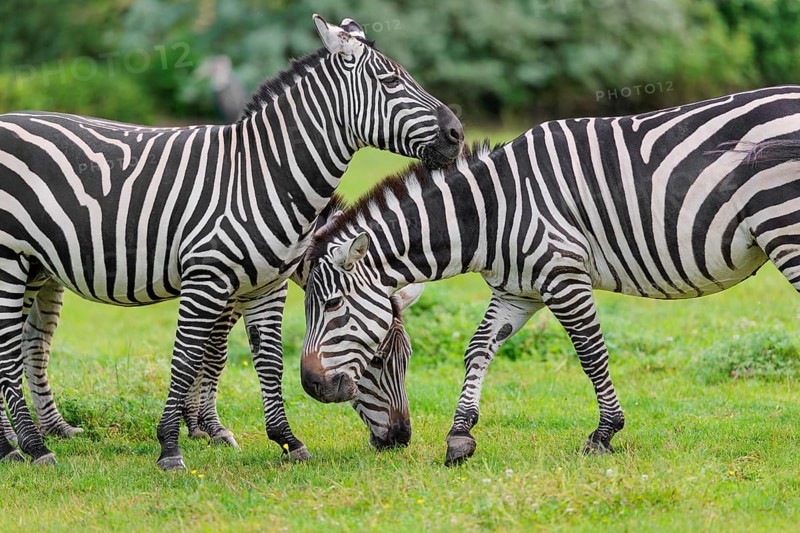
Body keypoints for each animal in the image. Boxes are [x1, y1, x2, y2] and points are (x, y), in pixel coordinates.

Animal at [0, 14, 463, 469]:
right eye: (390, 81)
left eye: (405, 358)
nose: (458, 133)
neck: (263, 175)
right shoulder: (208, 279)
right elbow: (192, 356)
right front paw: (175, 444)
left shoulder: (264, 286)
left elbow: (263, 360)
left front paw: (283, 440)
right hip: (9, 260)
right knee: (9, 352)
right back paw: (32, 447)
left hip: (36, 269)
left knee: (27, 345)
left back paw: (22, 442)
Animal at [299, 85, 800, 465]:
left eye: (332, 306)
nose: (310, 385)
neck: (490, 212)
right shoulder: (517, 291)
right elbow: (477, 349)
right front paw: (460, 435)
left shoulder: (563, 274)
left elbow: (591, 354)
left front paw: (605, 434)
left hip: (785, 227)